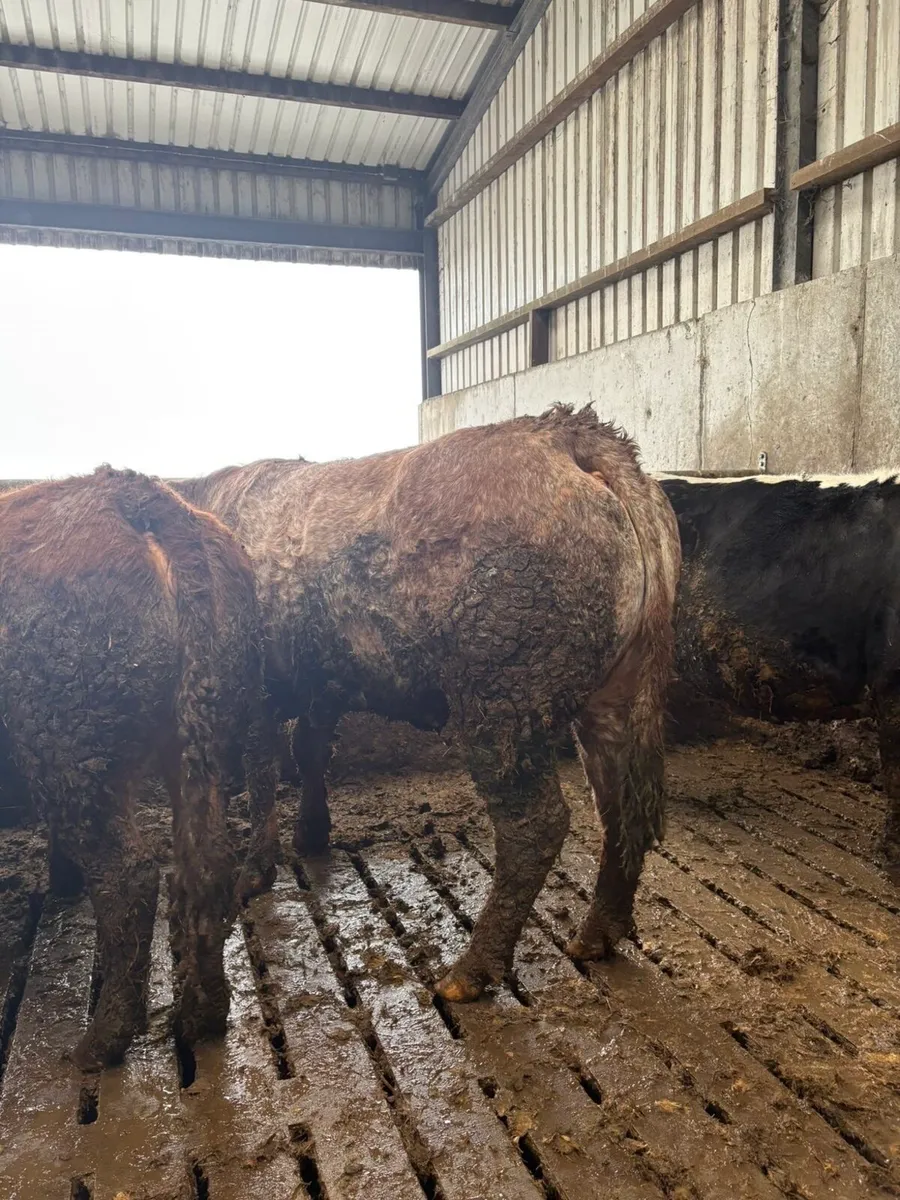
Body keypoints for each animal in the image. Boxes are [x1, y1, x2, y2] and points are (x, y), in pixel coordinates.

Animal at [0, 468, 277, 1068]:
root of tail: (137, 494)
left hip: (70, 752)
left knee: (129, 877)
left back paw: (104, 1040)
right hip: (201, 736)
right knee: (207, 864)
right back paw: (202, 1013)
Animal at [174, 404, 681, 1001]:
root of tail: (567, 435)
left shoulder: (257, 681)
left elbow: (262, 769)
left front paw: (256, 869)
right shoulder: (325, 677)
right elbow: (310, 751)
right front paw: (312, 833)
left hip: (498, 700)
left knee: (536, 825)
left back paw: (470, 970)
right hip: (616, 692)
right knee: (621, 805)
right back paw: (598, 933)